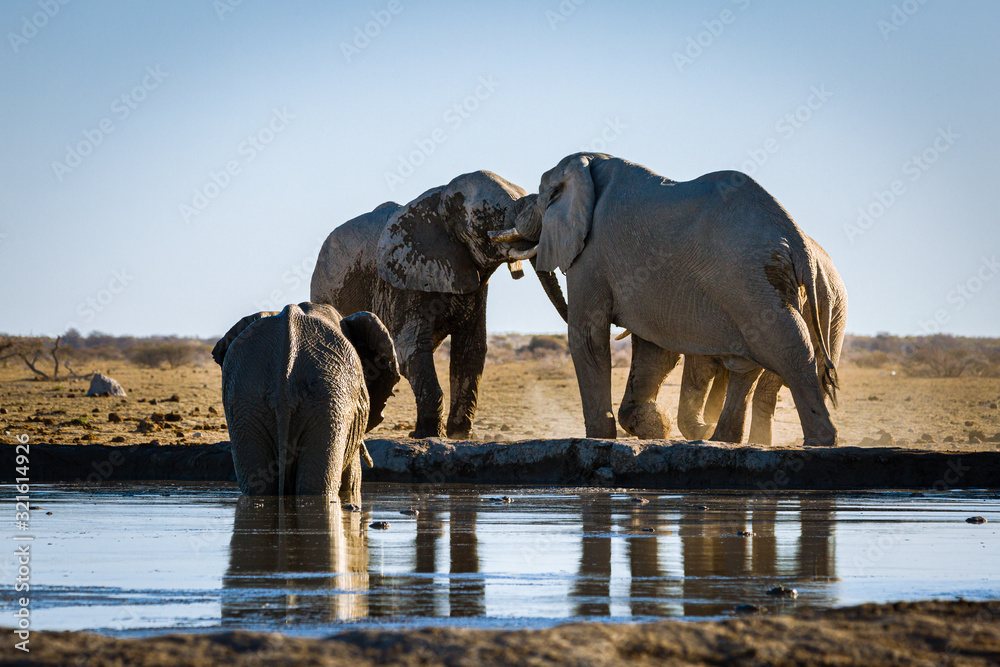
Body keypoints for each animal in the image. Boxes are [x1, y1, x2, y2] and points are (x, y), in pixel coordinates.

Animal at [311, 171, 566, 439]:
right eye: (483, 217)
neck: (439, 202)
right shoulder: (402, 280)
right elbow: (410, 348)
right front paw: (426, 435)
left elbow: (470, 349)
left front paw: (460, 435)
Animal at [490, 153, 841, 447]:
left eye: (542, 196)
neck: (589, 164)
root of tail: (796, 238)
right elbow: (653, 349)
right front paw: (656, 426)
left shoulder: (591, 253)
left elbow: (588, 336)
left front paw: (600, 437)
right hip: (760, 284)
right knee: (755, 357)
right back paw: (722, 439)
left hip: (752, 280)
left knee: (787, 347)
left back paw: (819, 441)